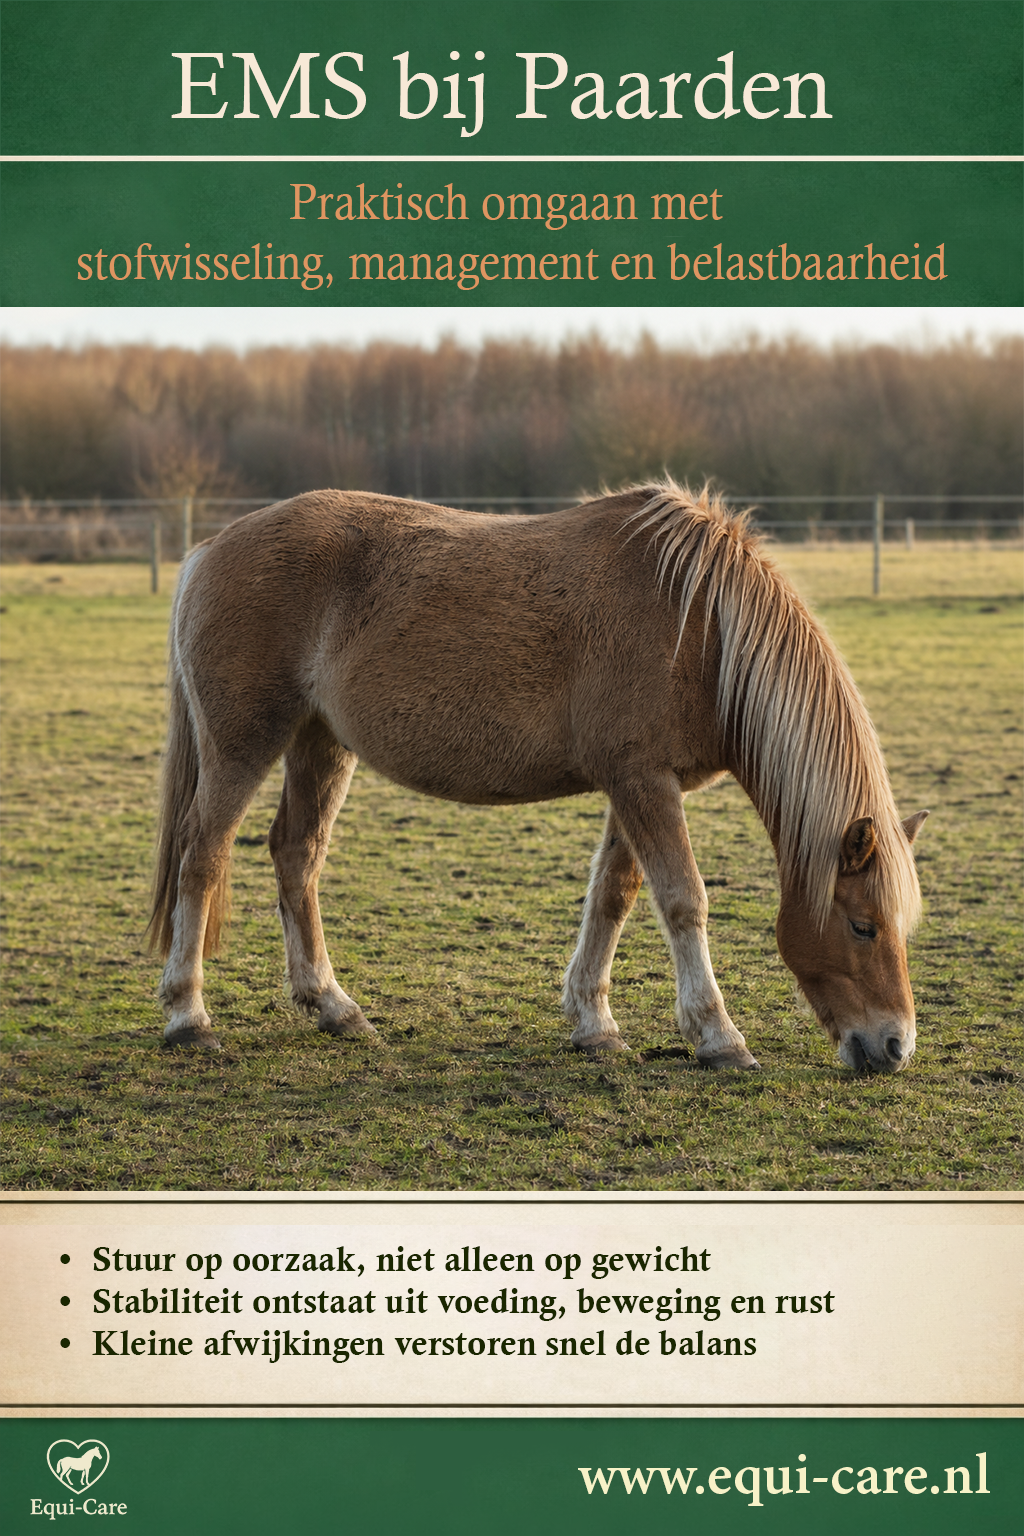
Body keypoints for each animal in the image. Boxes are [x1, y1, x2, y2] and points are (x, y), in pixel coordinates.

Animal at [150, 481, 927, 1073]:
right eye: (862, 926)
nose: (894, 1047)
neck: (698, 627)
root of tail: (209, 550)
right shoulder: (644, 782)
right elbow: (683, 901)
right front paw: (717, 1036)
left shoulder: (639, 784)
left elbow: (613, 896)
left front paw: (594, 1024)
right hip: (242, 746)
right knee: (203, 856)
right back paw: (189, 1015)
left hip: (320, 743)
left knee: (296, 856)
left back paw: (334, 1008)